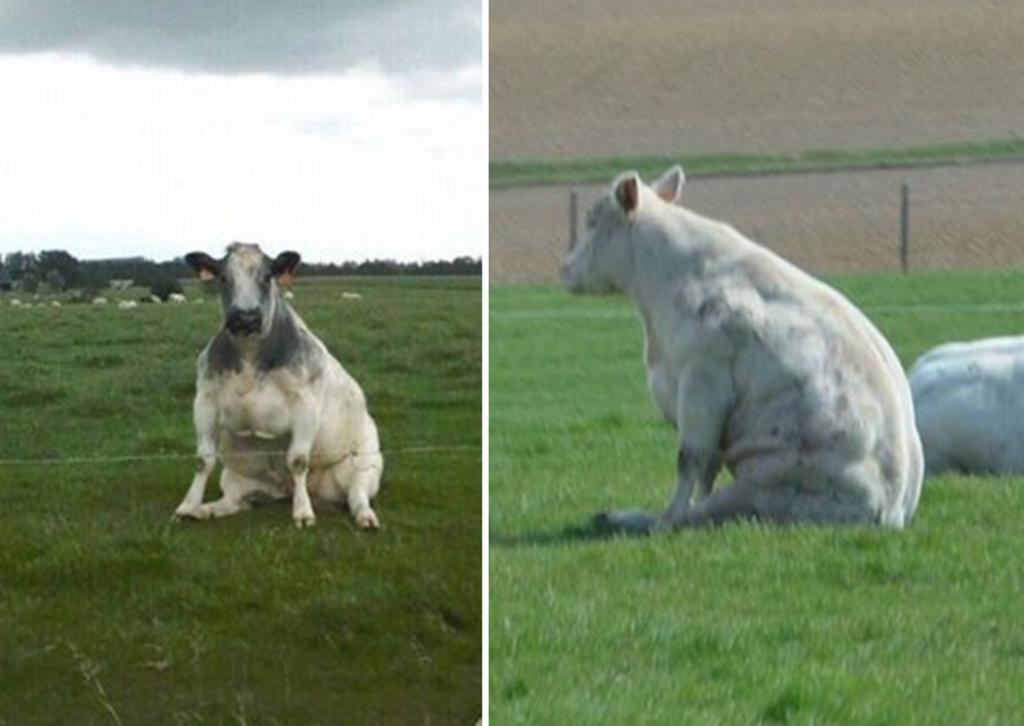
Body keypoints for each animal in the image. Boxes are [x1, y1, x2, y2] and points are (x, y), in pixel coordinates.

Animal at [173, 242, 383, 529]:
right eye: (224, 277)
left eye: (266, 276)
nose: (245, 317)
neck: (250, 355)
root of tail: (285, 489)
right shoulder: (205, 399)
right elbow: (202, 461)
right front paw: (187, 505)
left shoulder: (305, 403)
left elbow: (298, 460)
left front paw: (303, 512)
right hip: (236, 476)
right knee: (234, 501)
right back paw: (205, 510)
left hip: (365, 464)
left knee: (356, 495)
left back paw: (365, 516)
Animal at [560, 167, 923, 531]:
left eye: (592, 220)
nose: (563, 268)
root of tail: (893, 510)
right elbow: (708, 469)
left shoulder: (703, 381)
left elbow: (691, 459)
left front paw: (666, 517)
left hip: (760, 491)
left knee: (700, 515)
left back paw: (633, 519)